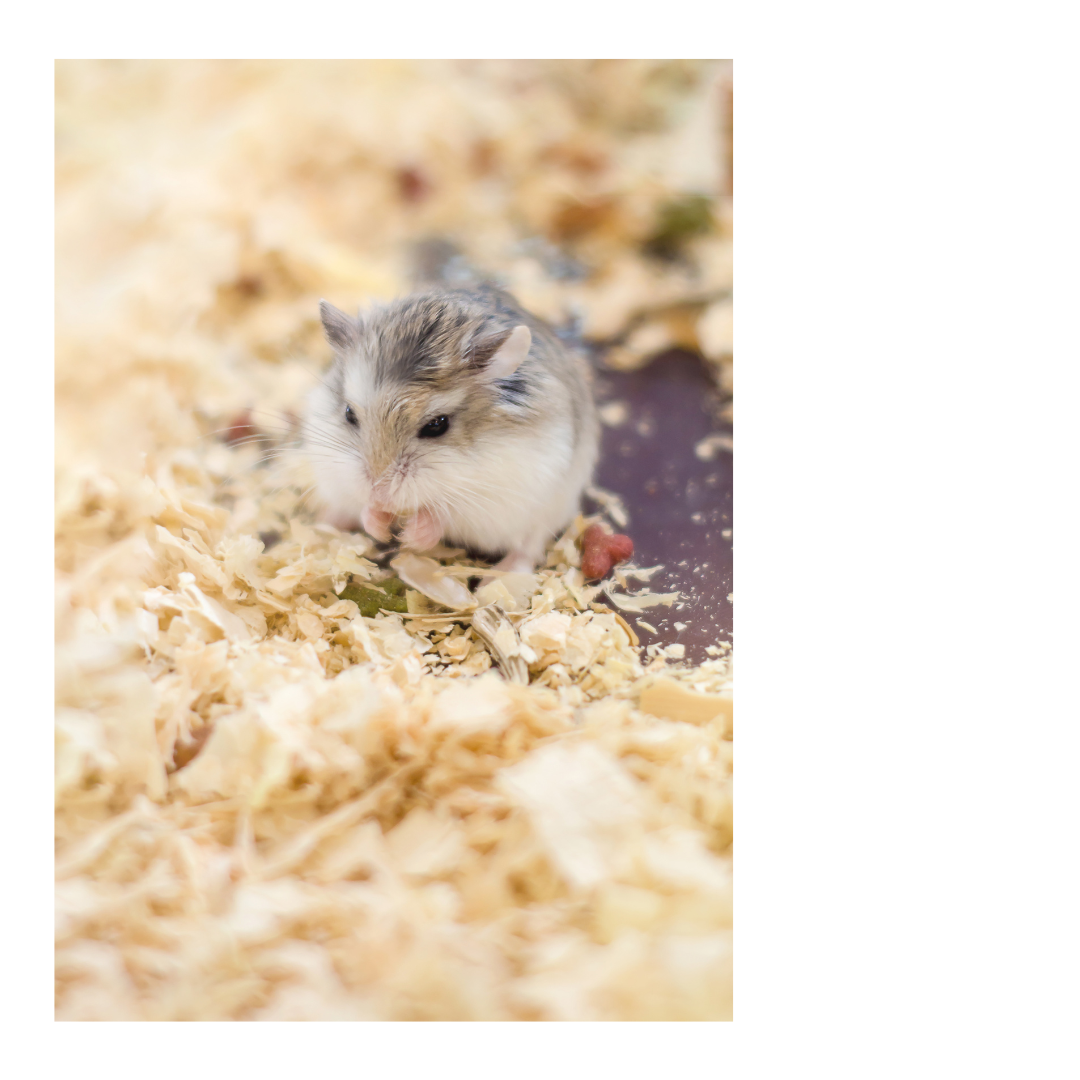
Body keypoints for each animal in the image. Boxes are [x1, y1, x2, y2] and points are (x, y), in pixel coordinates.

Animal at [304, 286, 599, 572]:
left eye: (437, 425)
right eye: (349, 413)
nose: (379, 496)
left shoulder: (498, 496)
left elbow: (443, 515)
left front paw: (408, 536)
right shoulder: (335, 471)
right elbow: (361, 507)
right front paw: (379, 524)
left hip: (552, 508)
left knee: (529, 546)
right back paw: (325, 522)